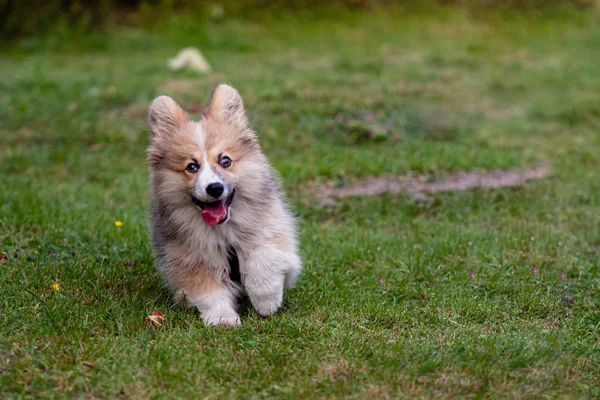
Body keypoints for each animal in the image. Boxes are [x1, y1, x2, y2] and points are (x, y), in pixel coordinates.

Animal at [148, 83, 302, 324]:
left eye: (225, 161)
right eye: (192, 166)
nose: (215, 188)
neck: (223, 231)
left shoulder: (272, 234)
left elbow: (263, 260)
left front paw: (266, 301)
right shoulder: (190, 259)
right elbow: (209, 291)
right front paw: (223, 320)